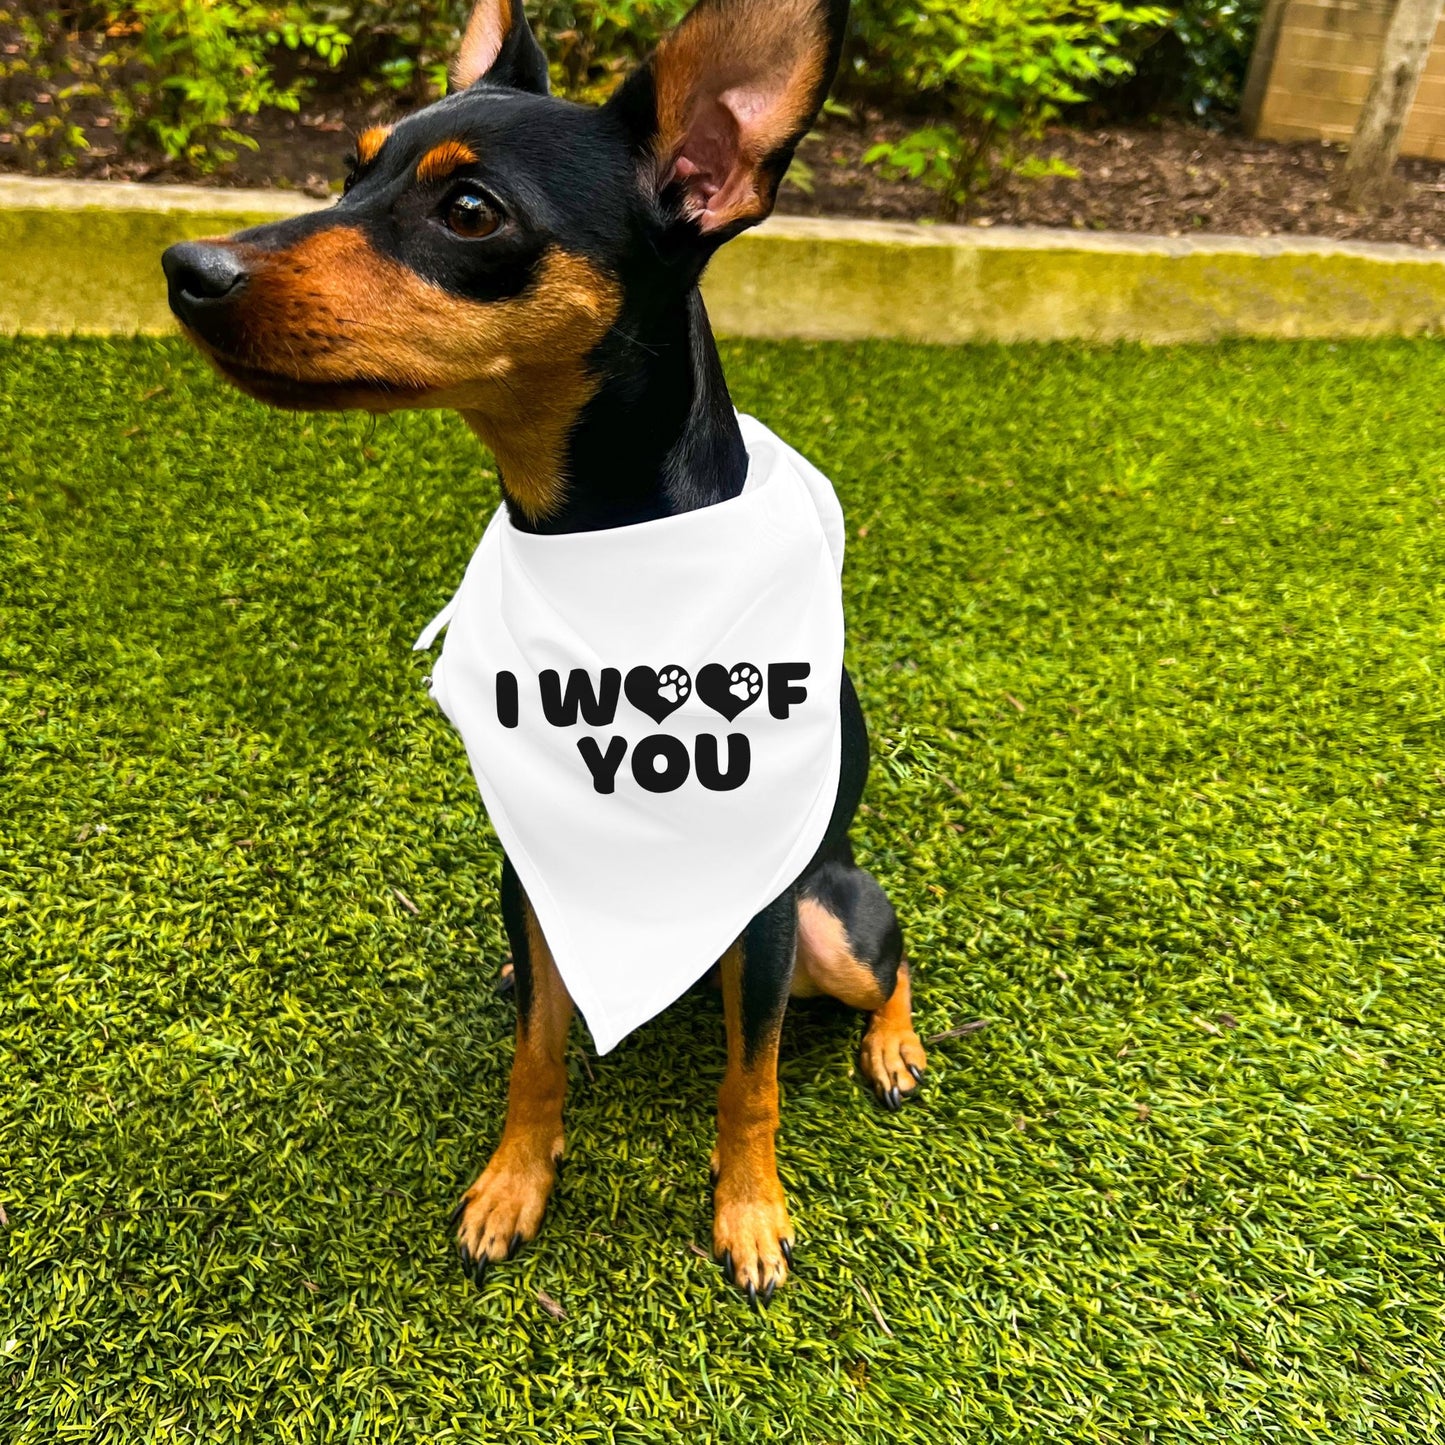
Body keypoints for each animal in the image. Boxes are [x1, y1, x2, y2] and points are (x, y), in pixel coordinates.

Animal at [161, 0, 924, 1306]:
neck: (600, 561)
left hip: (832, 919)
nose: (186, 268)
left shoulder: (766, 907)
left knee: (891, 962)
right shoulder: (527, 859)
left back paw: (894, 1045)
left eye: (471, 212)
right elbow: (536, 1056)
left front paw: (750, 1211)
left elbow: (752, 1080)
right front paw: (514, 1180)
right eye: (348, 170)